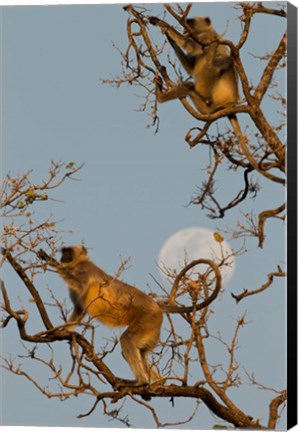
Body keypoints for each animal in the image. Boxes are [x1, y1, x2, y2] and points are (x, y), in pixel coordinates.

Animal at [39, 246, 163, 388]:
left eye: (69, 252)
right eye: (64, 251)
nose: (63, 257)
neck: (79, 263)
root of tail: (158, 310)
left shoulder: (85, 270)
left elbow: (79, 284)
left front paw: (48, 259)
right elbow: (80, 308)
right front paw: (62, 331)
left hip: (147, 318)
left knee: (127, 340)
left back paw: (141, 382)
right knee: (141, 352)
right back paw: (159, 382)